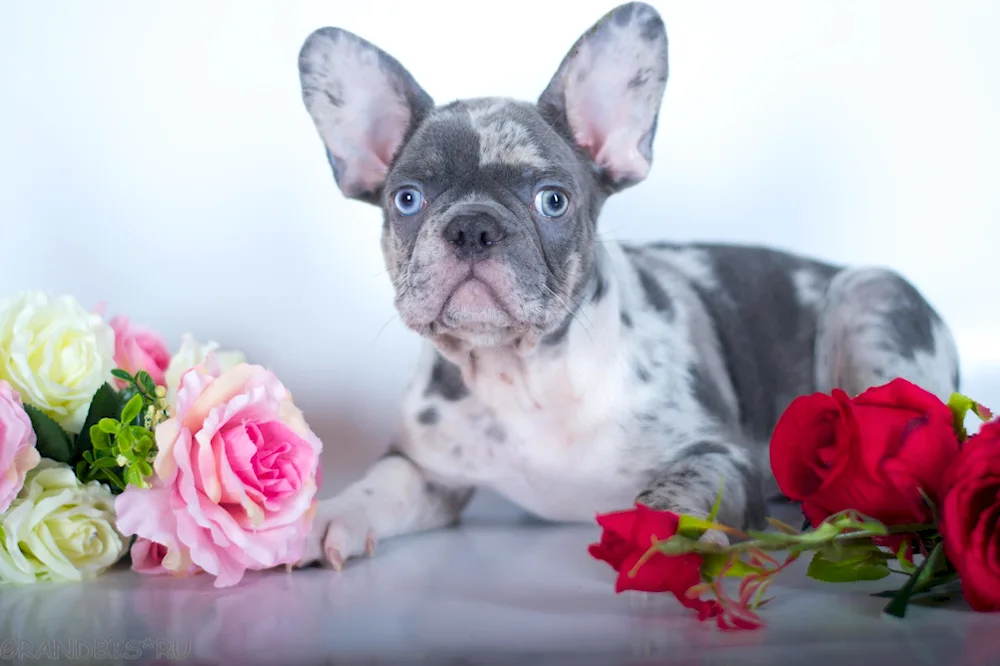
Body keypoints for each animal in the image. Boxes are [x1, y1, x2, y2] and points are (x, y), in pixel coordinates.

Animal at [292, 2, 960, 568]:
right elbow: (382, 485)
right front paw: (332, 516)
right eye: (408, 199)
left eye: (553, 200)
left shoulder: (717, 452)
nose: (473, 227)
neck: (523, 376)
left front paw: (666, 532)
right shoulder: (427, 470)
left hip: (870, 300)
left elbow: (680, 485)